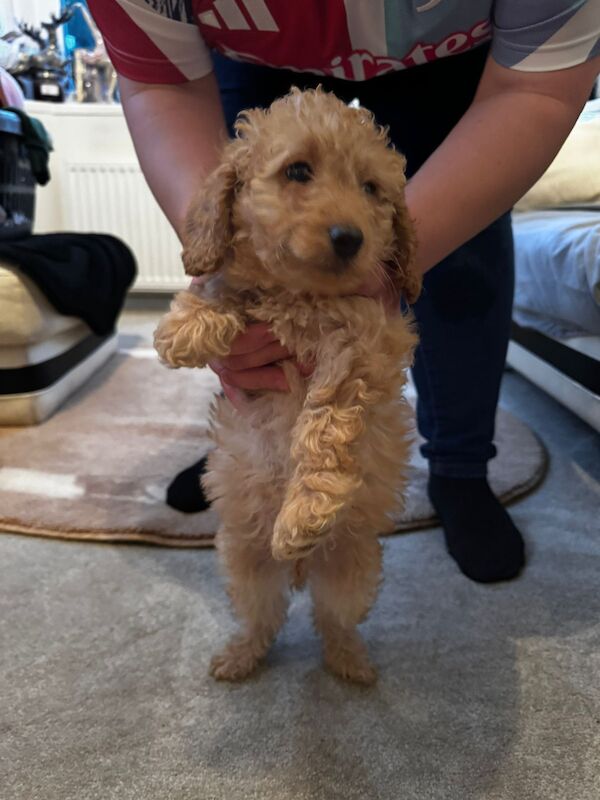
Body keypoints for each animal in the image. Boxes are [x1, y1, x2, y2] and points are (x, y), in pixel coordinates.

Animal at [152, 89, 420, 688]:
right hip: (245, 565)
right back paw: (240, 657)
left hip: (352, 569)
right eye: (298, 171)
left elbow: (325, 430)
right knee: (264, 617)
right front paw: (184, 329)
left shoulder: (363, 350)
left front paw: (305, 513)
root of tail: (299, 571)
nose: (350, 237)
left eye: (371, 189)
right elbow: (225, 286)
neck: (301, 295)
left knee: (334, 619)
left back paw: (349, 661)